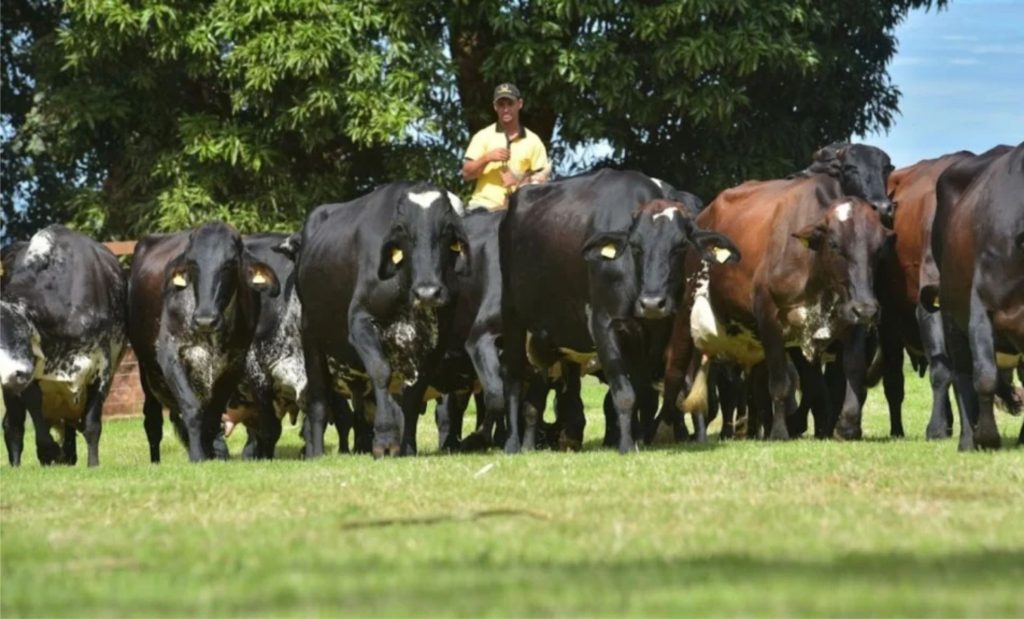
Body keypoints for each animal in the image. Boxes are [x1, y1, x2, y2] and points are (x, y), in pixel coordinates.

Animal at [1, 224, 128, 467]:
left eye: (20, 335)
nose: (10, 375)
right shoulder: (33, 375)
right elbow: (35, 411)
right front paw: (48, 450)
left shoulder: (102, 370)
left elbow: (92, 425)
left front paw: (93, 464)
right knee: (13, 426)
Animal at [127, 221, 280, 459]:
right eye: (192, 264)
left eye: (230, 263)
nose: (205, 319)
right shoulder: (170, 355)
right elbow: (191, 409)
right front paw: (198, 456)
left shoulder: (234, 363)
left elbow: (212, 416)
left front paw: (210, 455)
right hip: (146, 372)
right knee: (152, 423)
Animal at [296, 181, 468, 457]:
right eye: (403, 231)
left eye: (446, 231)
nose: (428, 292)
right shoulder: (360, 322)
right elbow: (380, 371)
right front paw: (385, 440)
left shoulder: (436, 342)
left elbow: (413, 395)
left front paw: (406, 446)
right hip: (311, 337)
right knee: (319, 402)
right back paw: (316, 452)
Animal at [497, 169, 733, 455]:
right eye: (636, 246)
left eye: (680, 246)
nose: (652, 302)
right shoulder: (604, 324)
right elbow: (624, 394)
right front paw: (627, 445)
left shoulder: (654, 336)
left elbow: (646, 396)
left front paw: (639, 439)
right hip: (513, 319)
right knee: (512, 378)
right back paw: (512, 444)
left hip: (545, 335)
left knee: (536, 394)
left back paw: (529, 444)